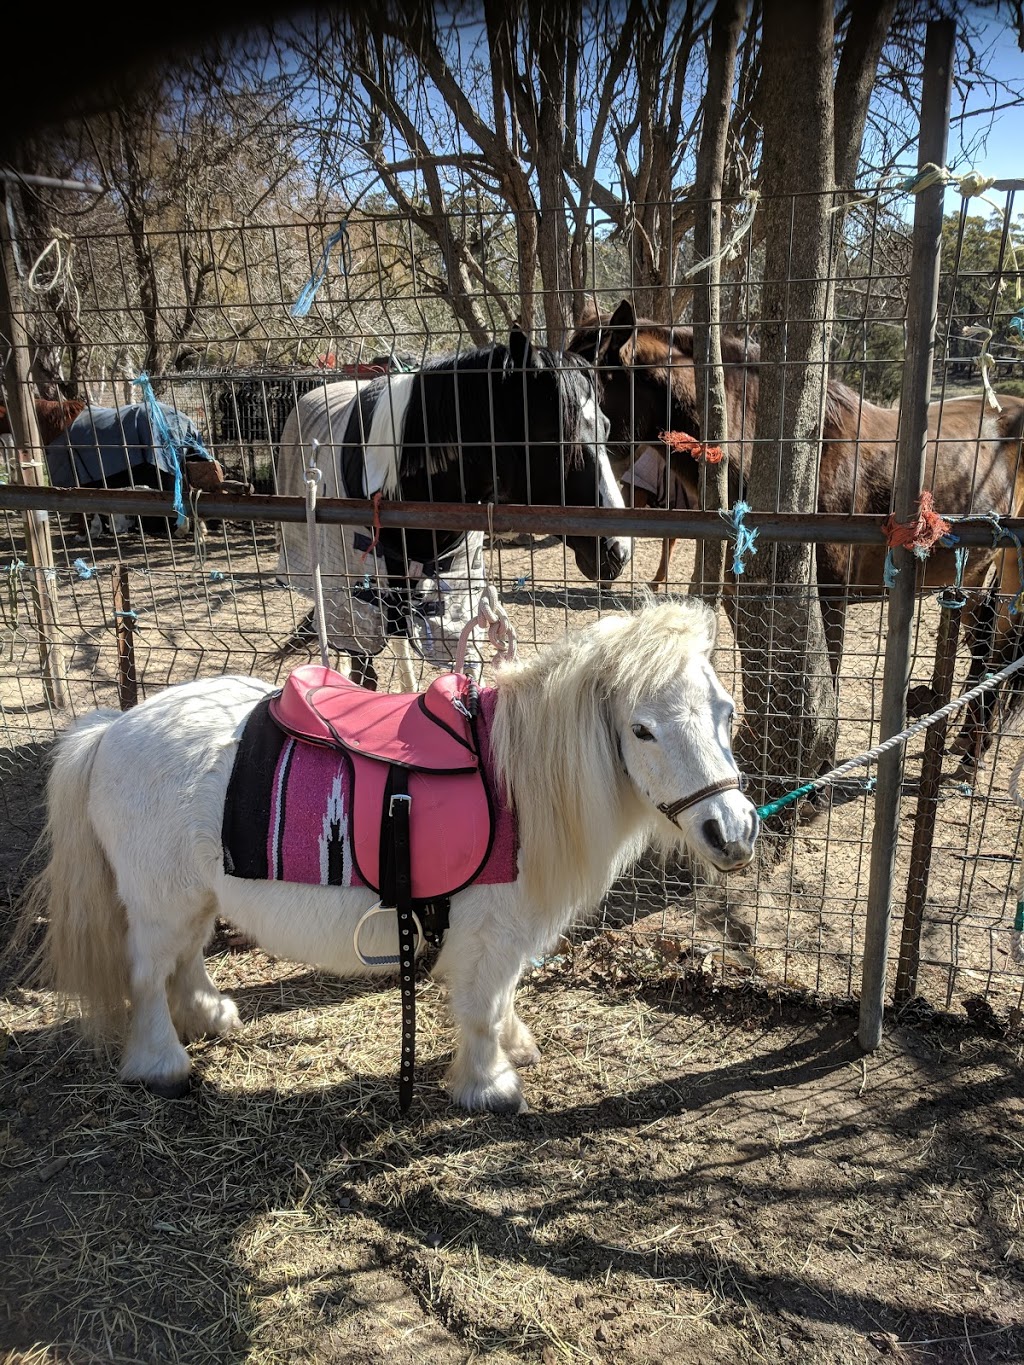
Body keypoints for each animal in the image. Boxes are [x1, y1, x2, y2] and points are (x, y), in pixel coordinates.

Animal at [18, 603, 764, 1113]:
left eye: (727, 711)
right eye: (642, 730)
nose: (732, 831)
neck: (516, 787)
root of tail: (111, 728)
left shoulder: (507, 934)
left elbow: (503, 998)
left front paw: (513, 1047)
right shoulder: (490, 932)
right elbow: (482, 1006)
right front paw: (489, 1085)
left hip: (197, 895)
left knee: (184, 961)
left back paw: (209, 1016)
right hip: (159, 900)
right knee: (147, 975)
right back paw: (163, 1063)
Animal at [570, 298, 1024, 764]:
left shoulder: (828, 595)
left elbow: (824, 680)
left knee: (1003, 645)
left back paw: (973, 751)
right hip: (971, 574)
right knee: (986, 644)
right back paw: (968, 742)